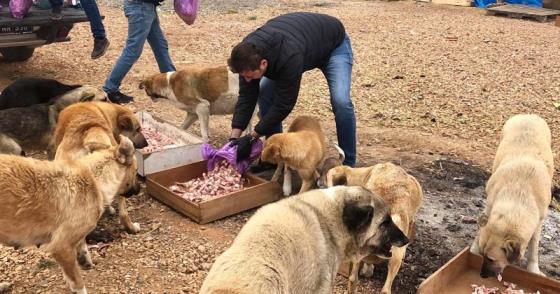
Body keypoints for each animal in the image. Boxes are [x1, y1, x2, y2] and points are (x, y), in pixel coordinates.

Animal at [0, 136, 139, 294]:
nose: (139, 189)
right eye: (136, 171)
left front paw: (84, 261)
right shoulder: (61, 247)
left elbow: (80, 251)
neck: (94, 179)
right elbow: (78, 281)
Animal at [470, 114, 552, 278]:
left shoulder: (539, 222)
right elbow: (480, 229)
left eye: (491, 259)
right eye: (481, 255)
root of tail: (528, 115)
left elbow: (534, 249)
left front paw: (533, 269)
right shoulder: (489, 206)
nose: (481, 275)